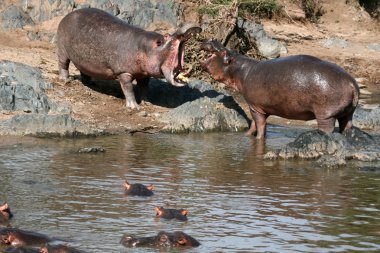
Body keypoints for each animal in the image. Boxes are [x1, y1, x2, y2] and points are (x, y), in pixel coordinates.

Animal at [56, 7, 202, 108]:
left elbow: (144, 89)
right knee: (63, 64)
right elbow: (129, 90)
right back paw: (66, 80)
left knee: (83, 69)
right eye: (165, 36)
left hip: (84, 60)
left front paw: (147, 103)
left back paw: (90, 82)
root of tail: (67, 15)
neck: (144, 47)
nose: (190, 27)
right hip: (62, 50)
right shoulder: (124, 73)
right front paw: (134, 107)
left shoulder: (144, 74)